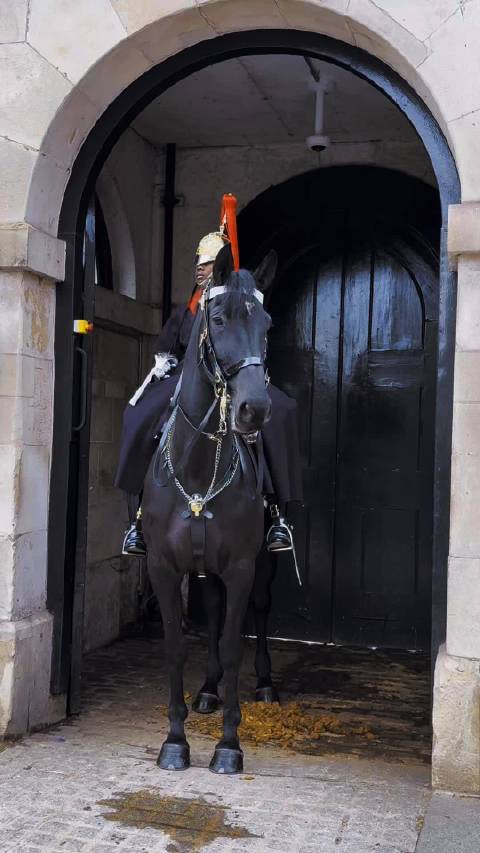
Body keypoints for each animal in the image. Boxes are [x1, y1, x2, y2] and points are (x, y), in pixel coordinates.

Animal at [142, 245, 277, 774]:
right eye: (218, 319)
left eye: (266, 322)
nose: (253, 409)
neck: (198, 468)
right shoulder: (164, 566)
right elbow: (177, 648)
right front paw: (175, 740)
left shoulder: (241, 565)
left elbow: (235, 644)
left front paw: (229, 746)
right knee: (215, 613)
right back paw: (207, 689)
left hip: (259, 562)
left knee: (257, 611)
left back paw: (265, 684)